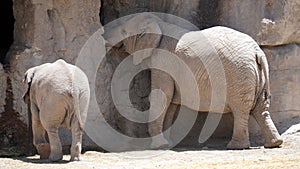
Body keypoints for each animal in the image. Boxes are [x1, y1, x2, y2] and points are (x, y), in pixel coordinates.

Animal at [104, 13, 282, 150]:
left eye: (124, 31)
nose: (103, 37)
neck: (158, 24)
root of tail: (257, 51)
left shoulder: (163, 60)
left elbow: (161, 96)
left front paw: (158, 146)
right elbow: (171, 103)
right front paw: (168, 144)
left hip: (239, 73)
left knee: (241, 109)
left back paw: (236, 146)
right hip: (257, 74)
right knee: (261, 107)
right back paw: (274, 143)